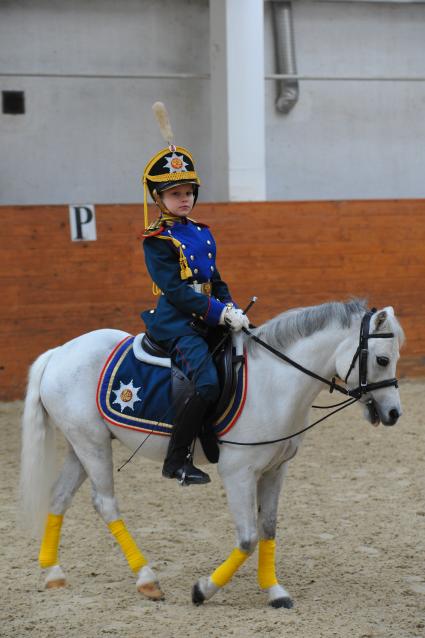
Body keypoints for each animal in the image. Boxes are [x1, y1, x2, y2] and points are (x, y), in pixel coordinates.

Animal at [19, 300, 402, 608]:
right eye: (382, 359)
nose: (394, 413)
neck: (275, 383)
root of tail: (59, 351)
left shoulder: (275, 470)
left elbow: (268, 529)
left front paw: (275, 591)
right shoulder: (238, 472)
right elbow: (247, 538)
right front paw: (203, 590)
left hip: (82, 444)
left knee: (60, 497)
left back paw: (53, 572)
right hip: (93, 445)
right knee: (105, 503)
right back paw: (147, 580)